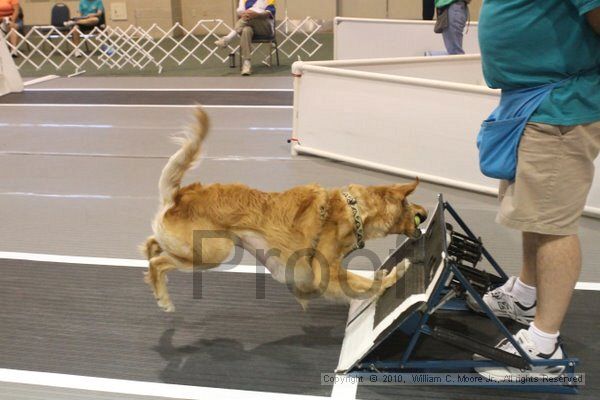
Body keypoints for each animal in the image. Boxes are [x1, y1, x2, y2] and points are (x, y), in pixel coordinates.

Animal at [144, 108, 428, 310]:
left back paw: (150, 254)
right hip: (214, 251)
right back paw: (163, 297)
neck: (352, 210)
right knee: (158, 263)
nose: (425, 213)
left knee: (153, 245)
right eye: (408, 202)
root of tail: (178, 196)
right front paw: (394, 274)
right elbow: (368, 282)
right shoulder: (325, 273)